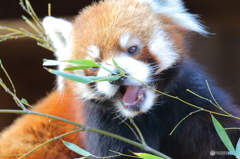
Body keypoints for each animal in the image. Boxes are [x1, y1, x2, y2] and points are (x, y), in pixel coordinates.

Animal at [0, 0, 240, 158]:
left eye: (132, 49)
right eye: (94, 64)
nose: (116, 76)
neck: (147, 113)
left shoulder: (191, 102)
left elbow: (224, 136)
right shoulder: (105, 127)